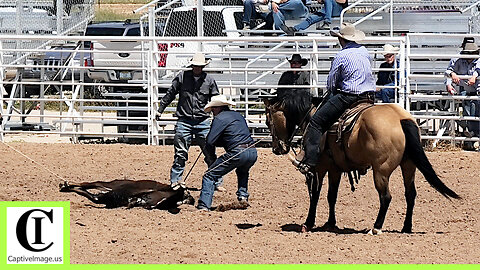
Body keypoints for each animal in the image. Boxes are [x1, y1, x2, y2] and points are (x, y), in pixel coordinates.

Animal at [264, 90, 460, 234]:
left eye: (268, 121)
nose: (277, 149)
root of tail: (401, 119)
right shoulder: (335, 169)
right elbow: (331, 196)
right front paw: (330, 223)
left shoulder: (319, 168)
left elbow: (316, 195)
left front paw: (308, 223)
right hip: (409, 166)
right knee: (410, 194)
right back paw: (406, 227)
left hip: (381, 170)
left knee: (386, 197)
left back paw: (376, 227)